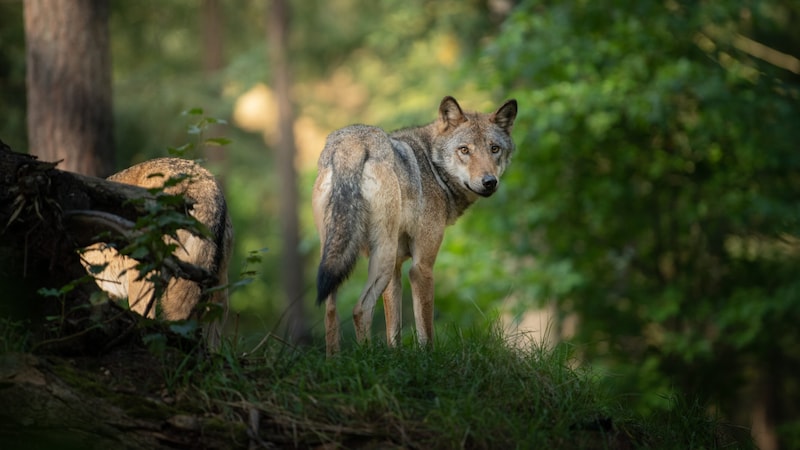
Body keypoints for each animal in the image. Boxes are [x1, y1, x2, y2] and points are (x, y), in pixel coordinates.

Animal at [312, 96, 520, 356]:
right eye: (464, 150)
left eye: (494, 149)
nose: (489, 182)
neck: (432, 166)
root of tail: (352, 143)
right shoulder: (421, 267)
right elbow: (425, 329)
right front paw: (428, 359)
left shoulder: (396, 269)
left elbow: (394, 330)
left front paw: (395, 356)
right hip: (382, 256)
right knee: (360, 309)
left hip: (336, 257)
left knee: (330, 311)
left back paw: (334, 360)